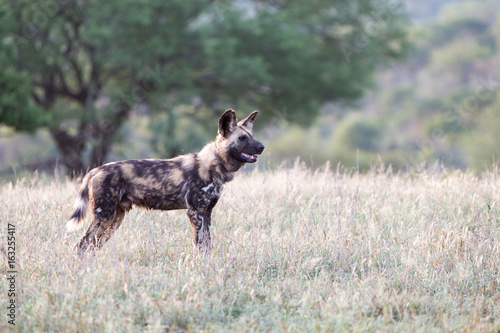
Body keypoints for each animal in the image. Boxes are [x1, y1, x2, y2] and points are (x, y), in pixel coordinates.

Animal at [66, 110, 266, 255]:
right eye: (242, 138)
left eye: (252, 135)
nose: (261, 147)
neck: (213, 164)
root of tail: (95, 170)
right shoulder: (196, 213)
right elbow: (200, 246)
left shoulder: (207, 213)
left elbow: (208, 246)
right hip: (104, 217)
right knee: (81, 246)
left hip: (114, 219)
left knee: (90, 247)